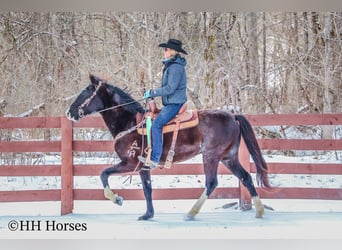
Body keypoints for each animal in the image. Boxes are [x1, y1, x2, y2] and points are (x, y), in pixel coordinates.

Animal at [66, 74, 270, 221]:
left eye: (86, 92)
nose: (69, 112)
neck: (130, 122)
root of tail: (233, 116)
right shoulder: (143, 167)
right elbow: (147, 189)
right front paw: (148, 214)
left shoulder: (130, 163)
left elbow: (103, 174)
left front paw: (117, 199)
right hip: (229, 158)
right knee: (246, 178)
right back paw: (259, 211)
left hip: (211, 156)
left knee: (211, 183)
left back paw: (191, 213)